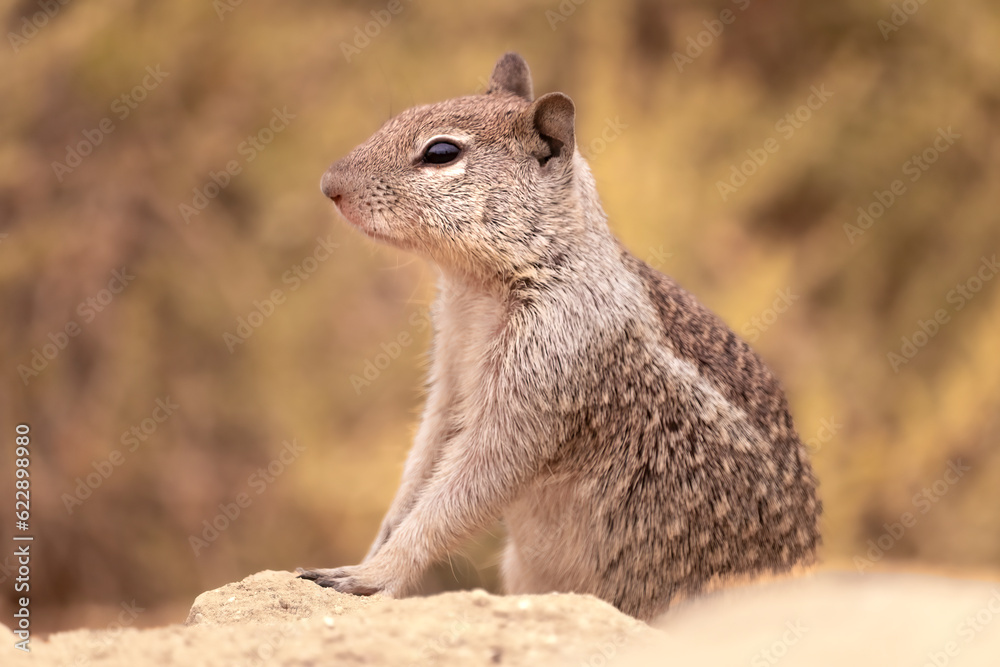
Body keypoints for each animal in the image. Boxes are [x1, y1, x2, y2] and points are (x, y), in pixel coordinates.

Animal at [298, 52, 821, 621]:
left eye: (441, 152)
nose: (328, 185)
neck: (477, 289)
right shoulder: (449, 381)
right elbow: (419, 470)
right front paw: (370, 552)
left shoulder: (543, 382)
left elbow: (462, 493)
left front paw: (370, 575)